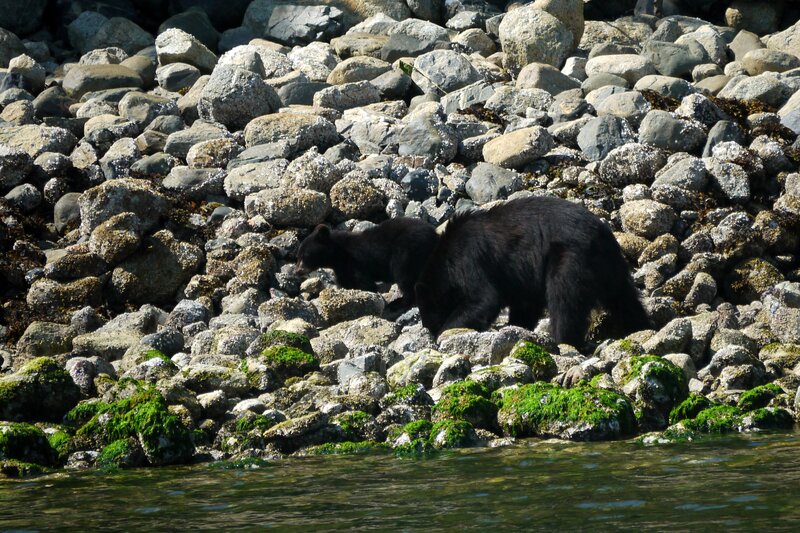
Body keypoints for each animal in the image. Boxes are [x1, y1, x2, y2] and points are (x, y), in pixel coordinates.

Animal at [296, 217, 439, 312]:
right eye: (297, 255)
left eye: (305, 255)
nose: (297, 271)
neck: (338, 254)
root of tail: (434, 235)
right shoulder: (342, 269)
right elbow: (346, 283)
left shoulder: (355, 262)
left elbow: (365, 283)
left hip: (406, 251)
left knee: (403, 276)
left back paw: (397, 303)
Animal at [414, 196, 651, 346]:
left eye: (431, 321)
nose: (430, 331)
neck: (447, 259)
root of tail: (602, 235)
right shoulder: (521, 280)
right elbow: (524, 305)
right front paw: (516, 329)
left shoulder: (471, 260)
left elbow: (484, 298)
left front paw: (447, 332)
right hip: (612, 268)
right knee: (625, 299)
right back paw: (641, 327)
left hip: (570, 259)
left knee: (564, 301)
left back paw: (563, 342)